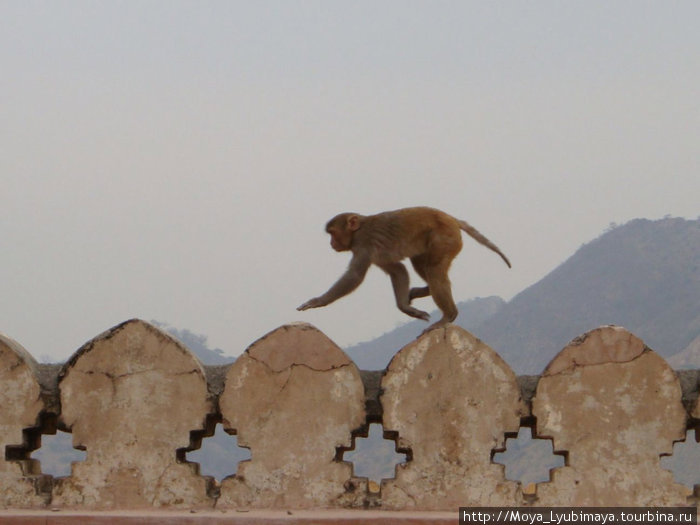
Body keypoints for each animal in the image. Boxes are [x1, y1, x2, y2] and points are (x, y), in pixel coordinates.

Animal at [296, 206, 508, 332]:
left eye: (333, 233)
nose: (331, 243)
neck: (357, 231)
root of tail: (452, 219)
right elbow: (398, 270)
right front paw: (406, 308)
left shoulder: (364, 245)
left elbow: (355, 276)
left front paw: (318, 301)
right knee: (423, 264)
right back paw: (423, 291)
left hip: (445, 238)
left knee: (434, 269)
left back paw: (448, 315)